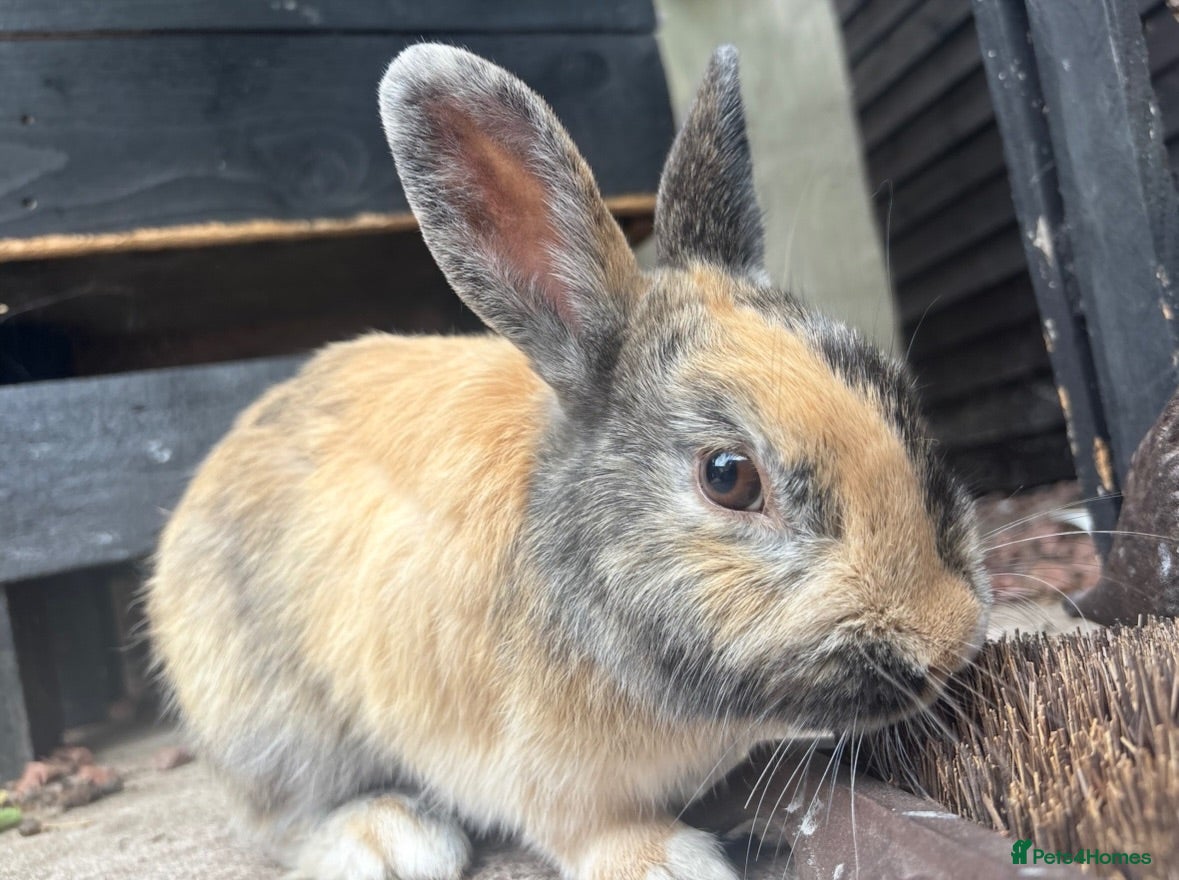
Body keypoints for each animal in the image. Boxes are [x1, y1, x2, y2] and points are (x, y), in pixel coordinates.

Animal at [145, 42, 992, 880]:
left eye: (891, 389)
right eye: (728, 478)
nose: (948, 637)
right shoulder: (530, 773)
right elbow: (584, 828)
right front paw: (664, 864)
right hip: (276, 729)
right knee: (281, 822)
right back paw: (388, 839)